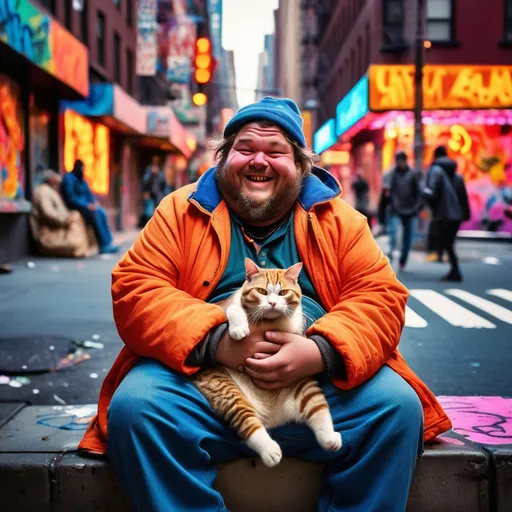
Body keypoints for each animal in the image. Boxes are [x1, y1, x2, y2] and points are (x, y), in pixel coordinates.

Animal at [194, 258, 342, 466]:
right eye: (262, 291)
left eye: (283, 292)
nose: (272, 303)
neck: (271, 322)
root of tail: (272, 417)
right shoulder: (221, 307)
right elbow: (233, 308)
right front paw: (239, 328)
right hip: (227, 390)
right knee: (247, 420)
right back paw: (269, 450)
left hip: (302, 384)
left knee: (318, 408)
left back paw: (329, 438)